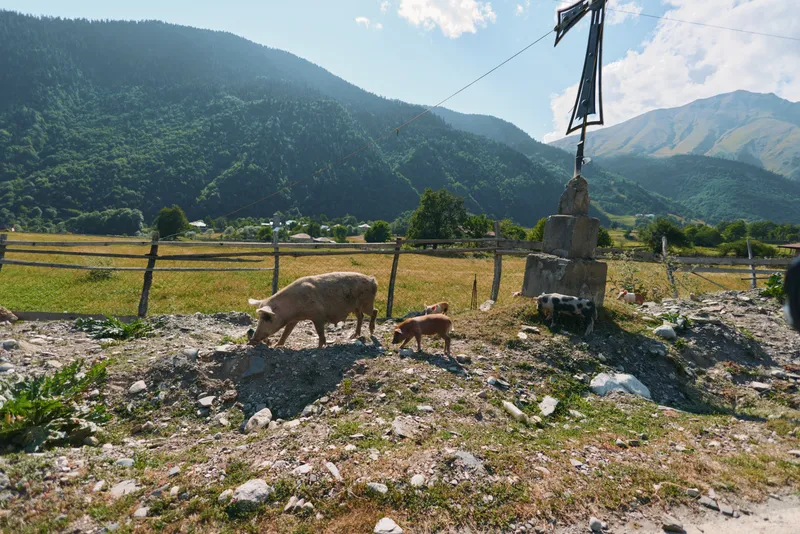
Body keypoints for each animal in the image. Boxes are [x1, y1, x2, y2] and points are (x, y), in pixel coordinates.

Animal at [247, 272, 378, 348]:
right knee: (360, 316)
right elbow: (286, 333)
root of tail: (373, 280)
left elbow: (320, 332)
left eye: (267, 318)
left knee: (374, 311)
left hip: (367, 303)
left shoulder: (318, 315)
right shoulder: (293, 320)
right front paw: (276, 345)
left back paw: (371, 332)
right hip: (356, 306)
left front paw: (319, 347)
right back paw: (353, 336)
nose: (252, 340)